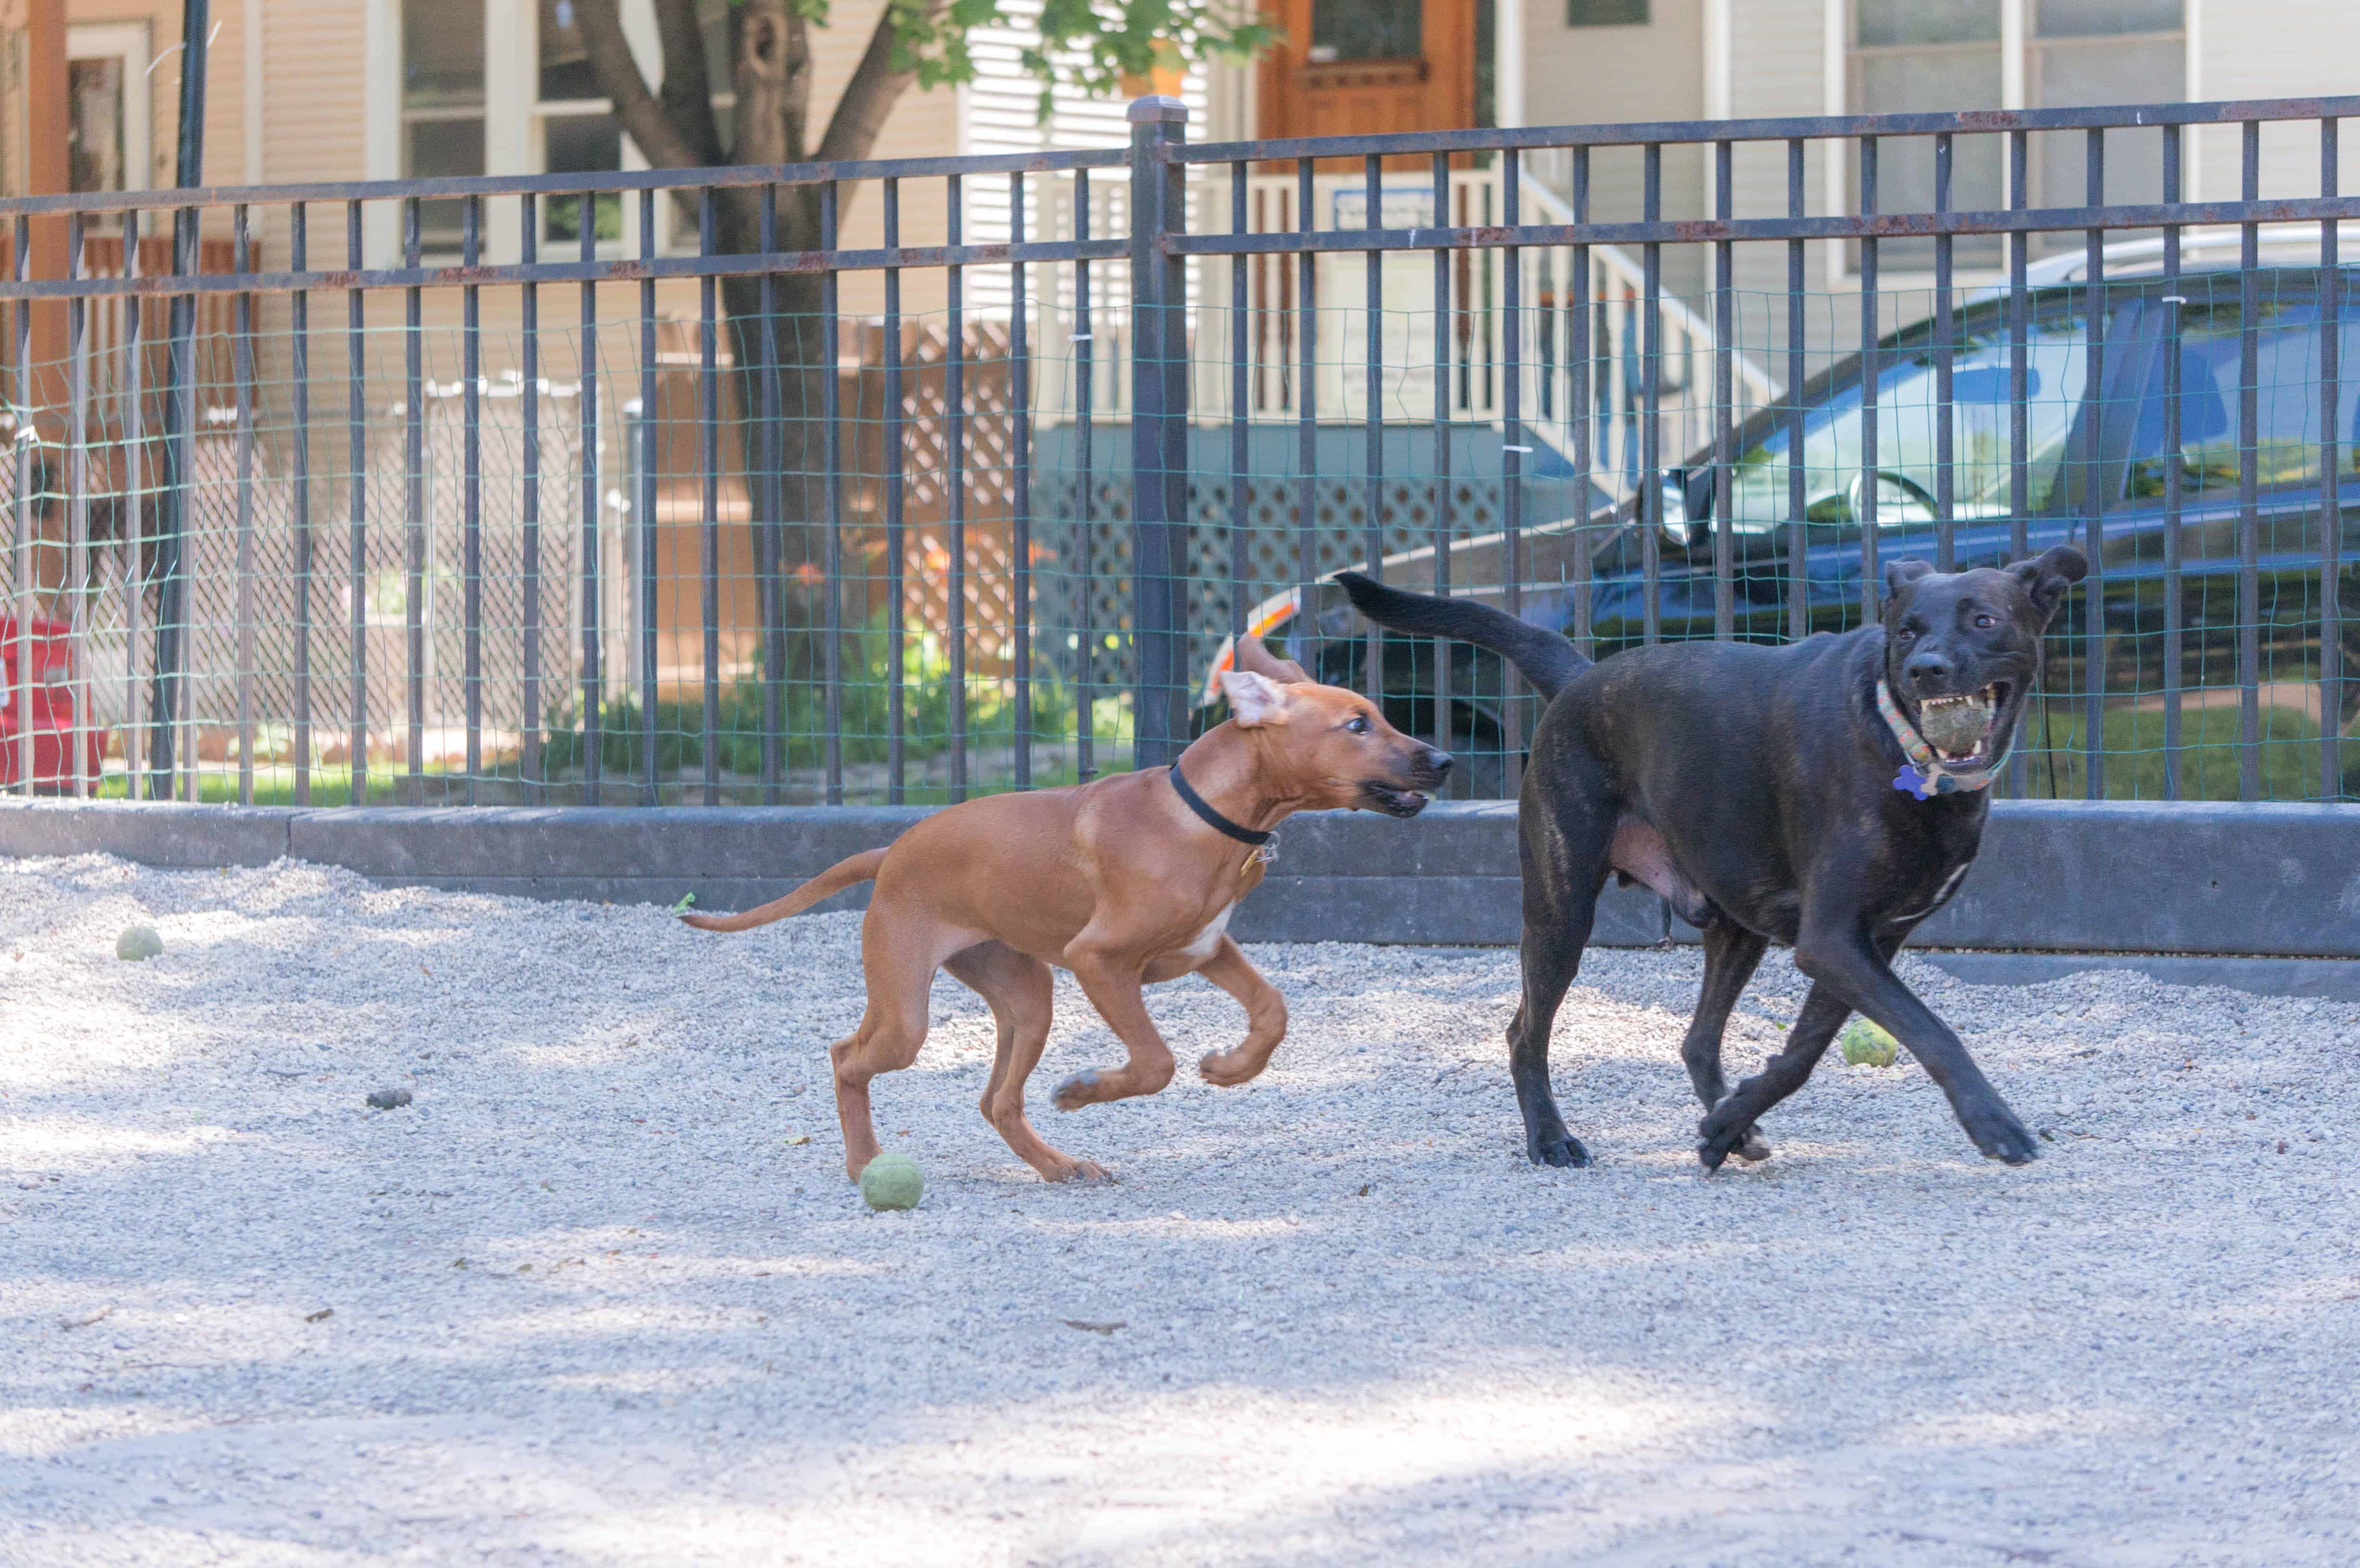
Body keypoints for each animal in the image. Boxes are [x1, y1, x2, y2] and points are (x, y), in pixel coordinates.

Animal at [684, 637, 1444, 1190]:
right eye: (1356, 725)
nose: (1443, 759)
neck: (1204, 813)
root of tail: (893, 849)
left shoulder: (1206, 949)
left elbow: (1272, 1011)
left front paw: (1232, 1068)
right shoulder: (1101, 962)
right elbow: (1155, 1062)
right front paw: (1084, 1091)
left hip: (1026, 996)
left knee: (996, 1101)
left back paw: (1058, 1167)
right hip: (909, 1011)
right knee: (848, 1058)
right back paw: (864, 1161)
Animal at [1340, 545, 2095, 1171]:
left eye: (1984, 620)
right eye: (1906, 630)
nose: (1926, 669)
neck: (1901, 747)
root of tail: (1585, 678)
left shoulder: (1863, 943)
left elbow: (1801, 1056)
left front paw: (1728, 1124)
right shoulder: (1834, 941)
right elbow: (1932, 1033)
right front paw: (1993, 1123)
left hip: (1738, 919)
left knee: (1697, 1040)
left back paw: (1728, 1127)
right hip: (1561, 912)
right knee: (1525, 1032)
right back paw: (1550, 1140)